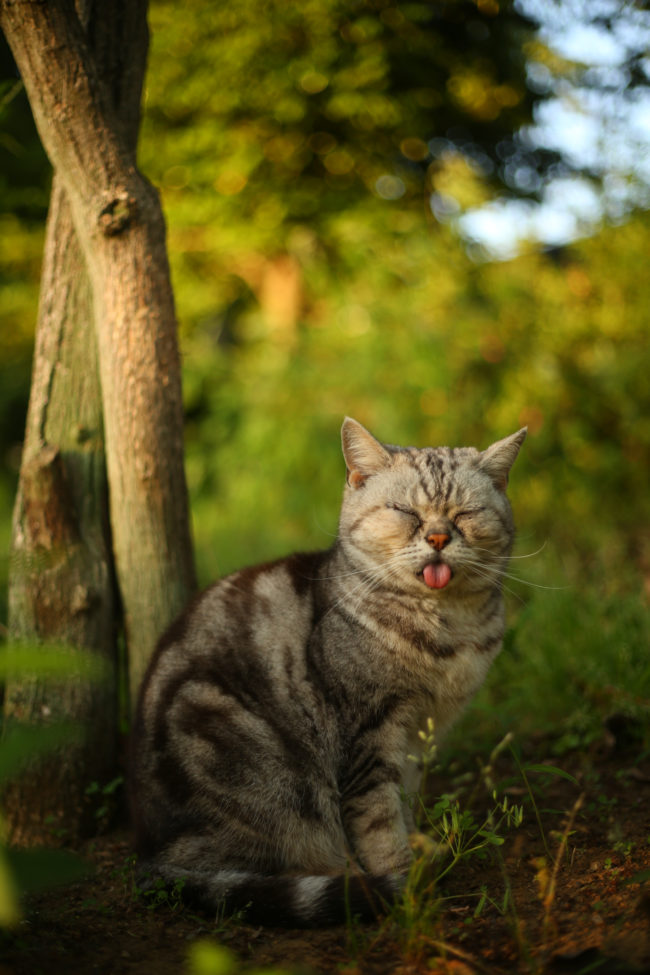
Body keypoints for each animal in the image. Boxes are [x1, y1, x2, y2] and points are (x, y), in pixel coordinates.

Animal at [129, 416, 524, 928]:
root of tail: (152, 861)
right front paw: (403, 880)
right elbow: (379, 818)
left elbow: (407, 797)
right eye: (405, 512)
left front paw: (421, 849)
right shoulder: (369, 732)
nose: (439, 538)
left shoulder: (418, 733)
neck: (448, 628)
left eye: (465, 514)